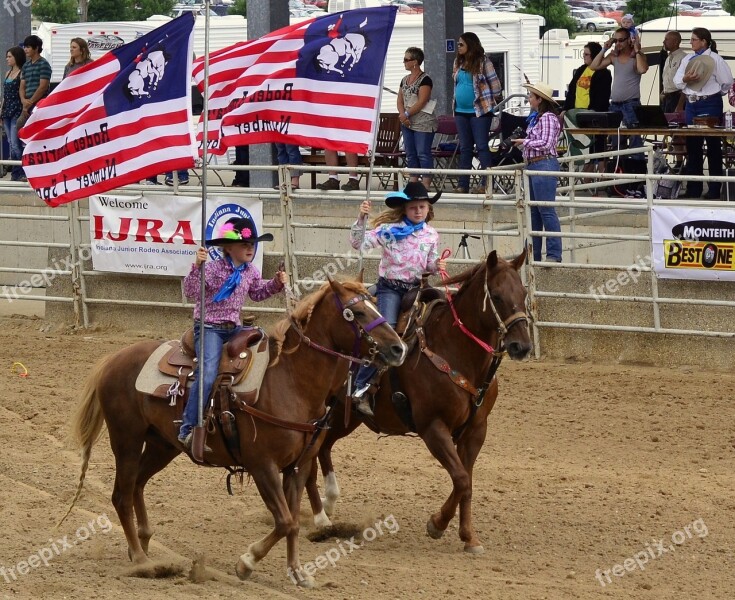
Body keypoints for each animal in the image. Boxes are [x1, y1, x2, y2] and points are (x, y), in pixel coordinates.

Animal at [64, 278, 408, 588]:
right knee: (121, 494)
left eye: (376, 306)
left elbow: (293, 522)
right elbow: (284, 520)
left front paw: (297, 573)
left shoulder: (297, 467)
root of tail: (113, 359)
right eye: (356, 313)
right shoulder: (262, 465)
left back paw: (145, 543)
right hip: (127, 440)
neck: (290, 381)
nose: (398, 348)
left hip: (162, 445)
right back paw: (140, 560)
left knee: (137, 484)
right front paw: (246, 563)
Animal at [306, 250, 536, 552]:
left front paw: (469, 537)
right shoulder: (433, 427)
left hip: (347, 417)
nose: (522, 346)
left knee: (323, 448)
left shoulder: (476, 430)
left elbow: (467, 482)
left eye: (523, 292)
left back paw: (329, 504)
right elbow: (461, 479)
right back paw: (318, 518)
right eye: (496, 296)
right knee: (310, 453)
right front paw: (437, 524)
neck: (453, 350)